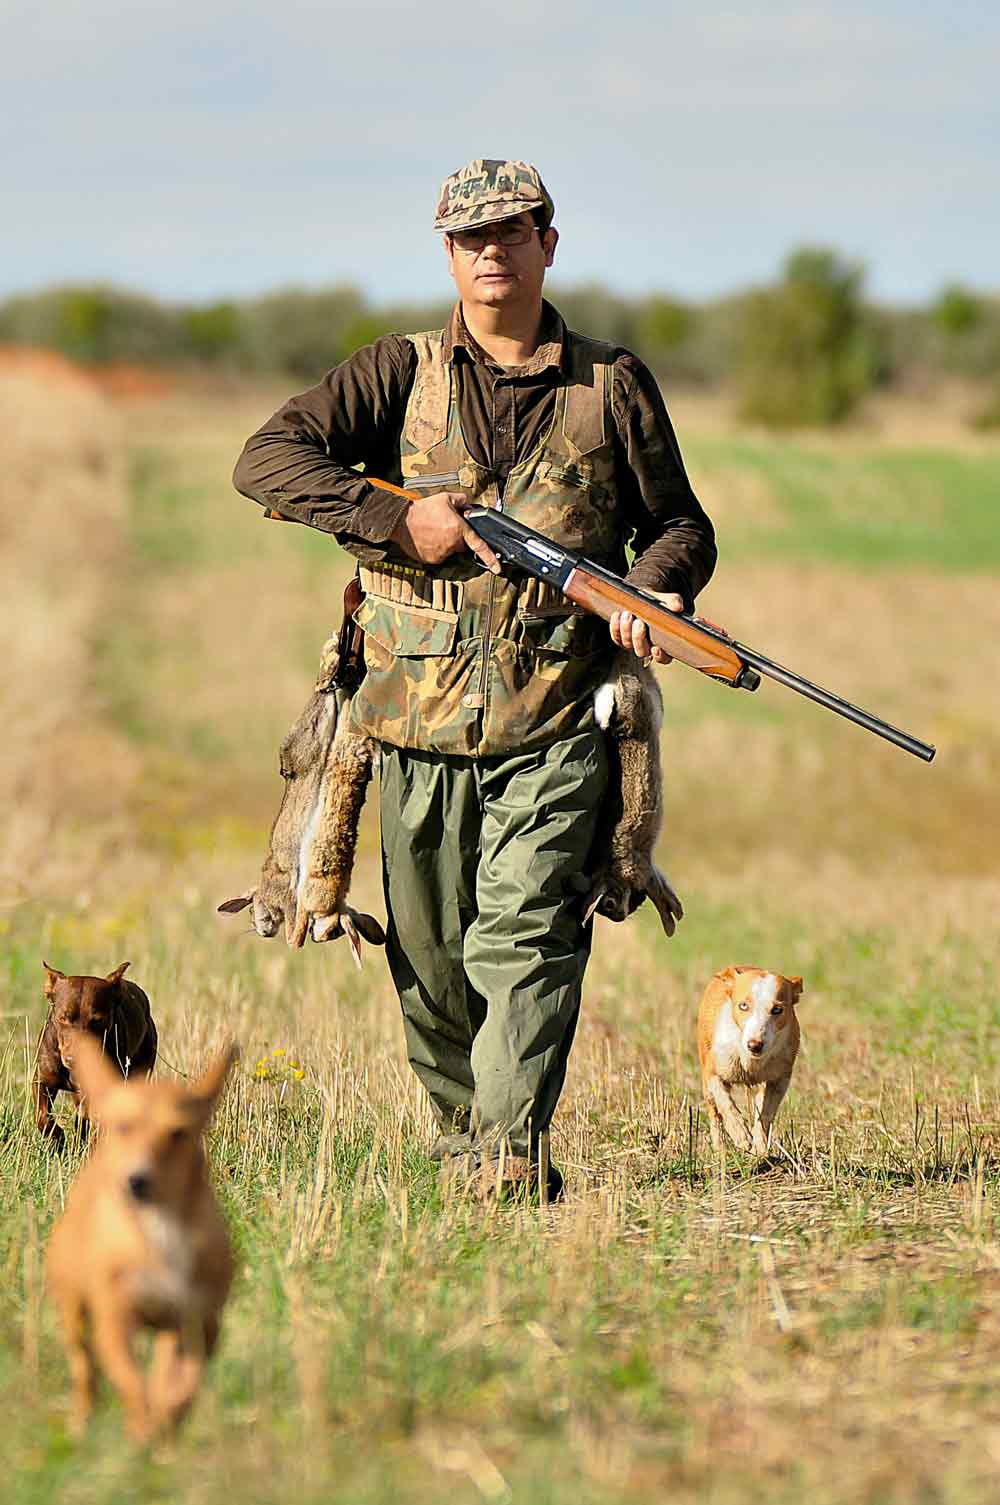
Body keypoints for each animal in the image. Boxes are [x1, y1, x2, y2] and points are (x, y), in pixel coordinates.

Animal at [36, 957, 157, 1143]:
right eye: (62, 1018)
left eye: (98, 1020)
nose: (74, 1059)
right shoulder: (43, 1080)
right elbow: (42, 1116)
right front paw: (57, 1138)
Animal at [47, 1029, 237, 1438]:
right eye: (124, 1126)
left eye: (178, 1132)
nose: (137, 1181)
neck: (160, 1229)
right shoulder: (115, 1323)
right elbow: (130, 1381)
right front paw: (142, 1423)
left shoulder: (199, 1325)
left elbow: (184, 1385)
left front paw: (165, 1419)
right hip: (75, 1311)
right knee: (84, 1367)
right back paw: (84, 1420)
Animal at [695, 969, 807, 1155]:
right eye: (743, 1006)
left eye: (777, 1009)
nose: (755, 1045)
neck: (751, 1062)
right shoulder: (713, 1073)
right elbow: (726, 1104)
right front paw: (741, 1136)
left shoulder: (779, 1080)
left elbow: (765, 1114)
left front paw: (759, 1146)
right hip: (706, 1082)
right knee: (715, 1114)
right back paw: (720, 1151)